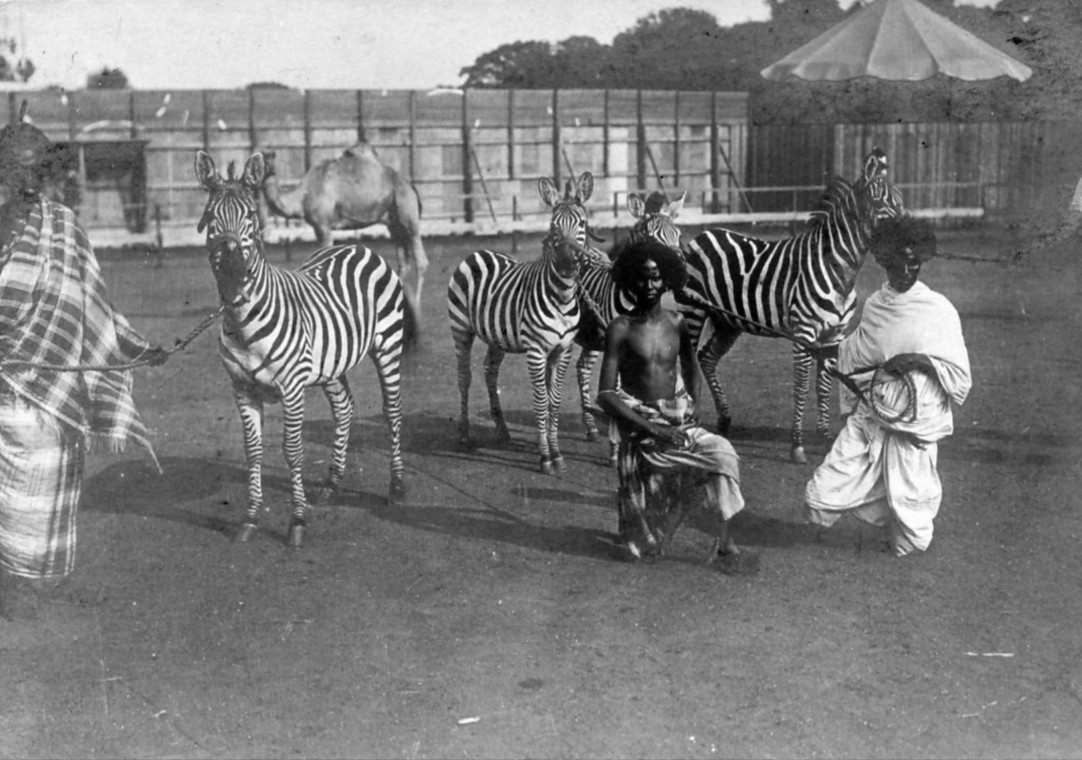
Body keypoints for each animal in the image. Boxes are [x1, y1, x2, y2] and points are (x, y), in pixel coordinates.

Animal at [194, 151, 408, 549]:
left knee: (392, 411)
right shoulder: (242, 390)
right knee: (344, 407)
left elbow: (292, 452)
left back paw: (397, 486)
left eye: (251, 215)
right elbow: (253, 452)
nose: (233, 269)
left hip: (388, 346)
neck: (242, 322)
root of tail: (356, 246)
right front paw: (250, 519)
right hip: (332, 362)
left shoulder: (292, 389)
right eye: (211, 216)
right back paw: (332, 483)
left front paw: (297, 522)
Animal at [259, 146, 428, 320]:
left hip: (408, 212)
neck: (302, 197)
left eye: (267, 157)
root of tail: (410, 186)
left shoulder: (324, 227)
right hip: (395, 225)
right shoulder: (319, 228)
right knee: (403, 264)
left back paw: (417, 307)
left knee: (421, 259)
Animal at [452, 171, 597, 476]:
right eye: (554, 226)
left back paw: (502, 429)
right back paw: (464, 434)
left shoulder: (562, 351)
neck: (562, 297)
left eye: (582, 224)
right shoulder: (536, 352)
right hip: (460, 329)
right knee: (464, 377)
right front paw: (544, 457)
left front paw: (557, 453)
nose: (567, 263)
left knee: (489, 372)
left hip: (496, 338)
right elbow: (541, 401)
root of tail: (479, 251)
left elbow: (554, 401)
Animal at [675, 143, 904, 463]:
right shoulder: (804, 333)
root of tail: (705, 234)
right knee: (688, 362)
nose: (914, 244)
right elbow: (802, 385)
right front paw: (797, 445)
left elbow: (824, 385)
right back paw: (687, 420)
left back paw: (724, 418)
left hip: (728, 322)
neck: (840, 271)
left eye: (902, 201)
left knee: (707, 357)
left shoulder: (833, 336)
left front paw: (824, 437)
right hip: (693, 312)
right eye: (881, 202)